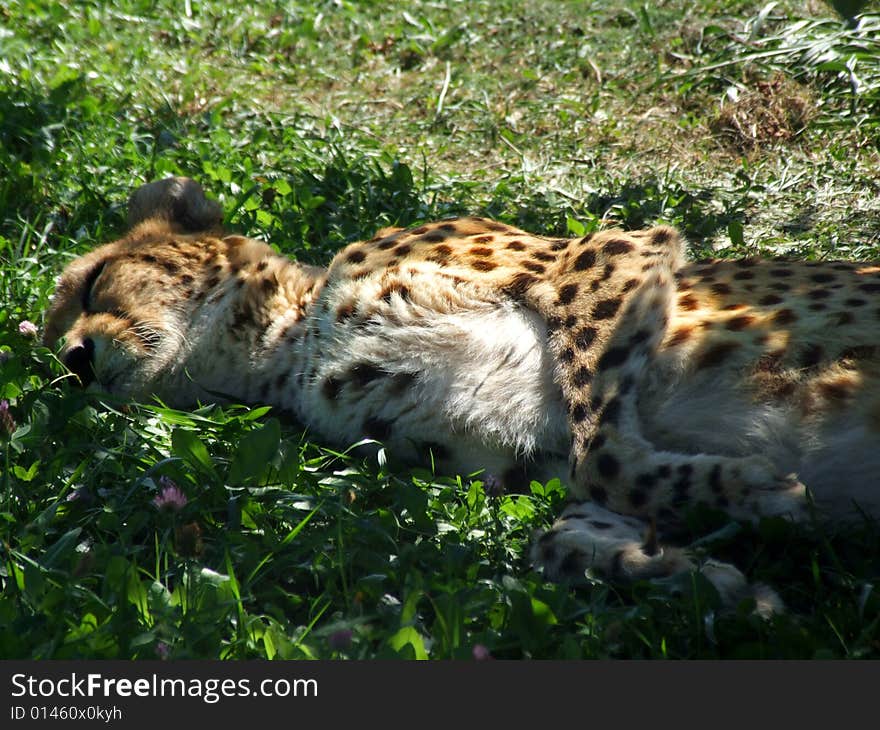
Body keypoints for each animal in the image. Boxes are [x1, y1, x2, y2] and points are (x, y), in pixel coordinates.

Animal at [43, 178, 880, 616]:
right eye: (49, 355)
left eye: (94, 282)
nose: (73, 364)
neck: (283, 344)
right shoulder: (520, 467)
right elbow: (561, 530)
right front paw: (705, 576)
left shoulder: (611, 252)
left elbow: (604, 452)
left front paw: (757, 494)